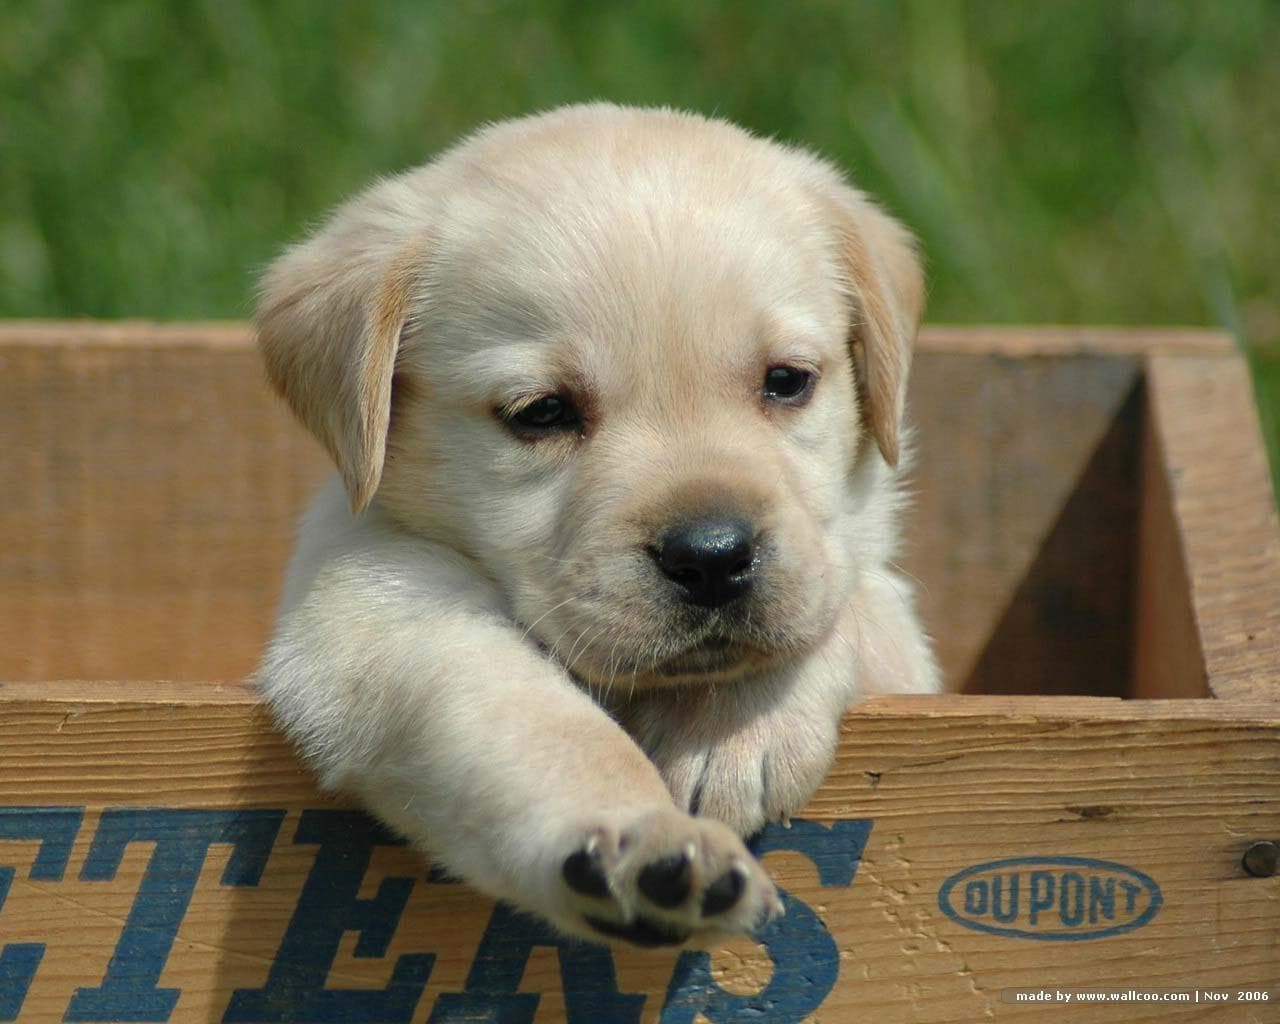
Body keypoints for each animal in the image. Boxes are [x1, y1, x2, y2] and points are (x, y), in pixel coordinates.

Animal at [259, 106, 942, 952]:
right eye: (542, 412)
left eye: (787, 382)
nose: (713, 557)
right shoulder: (370, 608)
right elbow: (535, 722)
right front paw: (645, 840)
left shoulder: (888, 628)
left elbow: (849, 601)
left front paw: (728, 721)